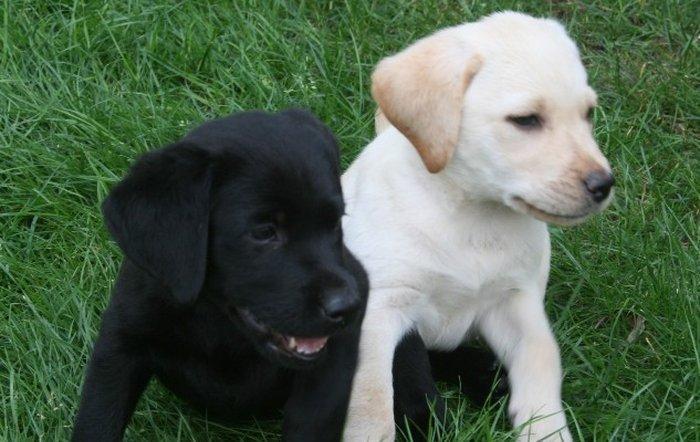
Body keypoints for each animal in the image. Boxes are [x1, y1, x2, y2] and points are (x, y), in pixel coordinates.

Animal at [72, 109, 369, 441]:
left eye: (335, 222)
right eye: (264, 232)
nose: (348, 306)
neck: (216, 317)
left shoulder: (336, 353)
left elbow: (312, 420)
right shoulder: (121, 338)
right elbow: (97, 419)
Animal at [342, 12, 614, 441]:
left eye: (588, 113)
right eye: (525, 120)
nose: (604, 184)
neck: (470, 215)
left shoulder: (514, 300)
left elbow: (542, 359)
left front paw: (545, 429)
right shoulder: (379, 310)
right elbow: (371, 404)